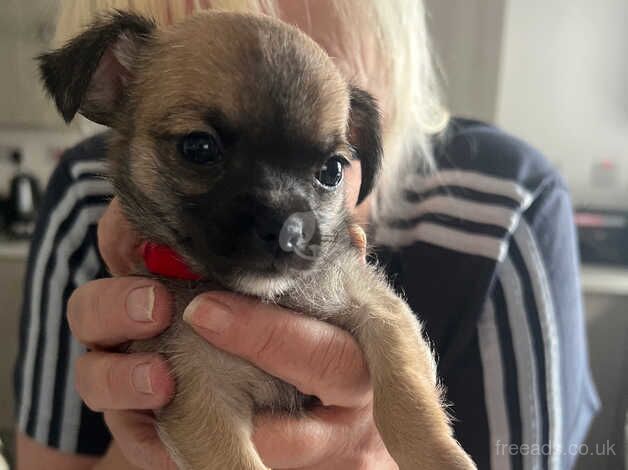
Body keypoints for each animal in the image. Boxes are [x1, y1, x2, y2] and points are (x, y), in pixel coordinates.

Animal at [39, 11, 476, 470]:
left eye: (333, 170)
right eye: (199, 147)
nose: (291, 229)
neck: (265, 295)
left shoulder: (378, 308)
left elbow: (407, 398)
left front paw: (442, 458)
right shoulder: (201, 396)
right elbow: (236, 461)